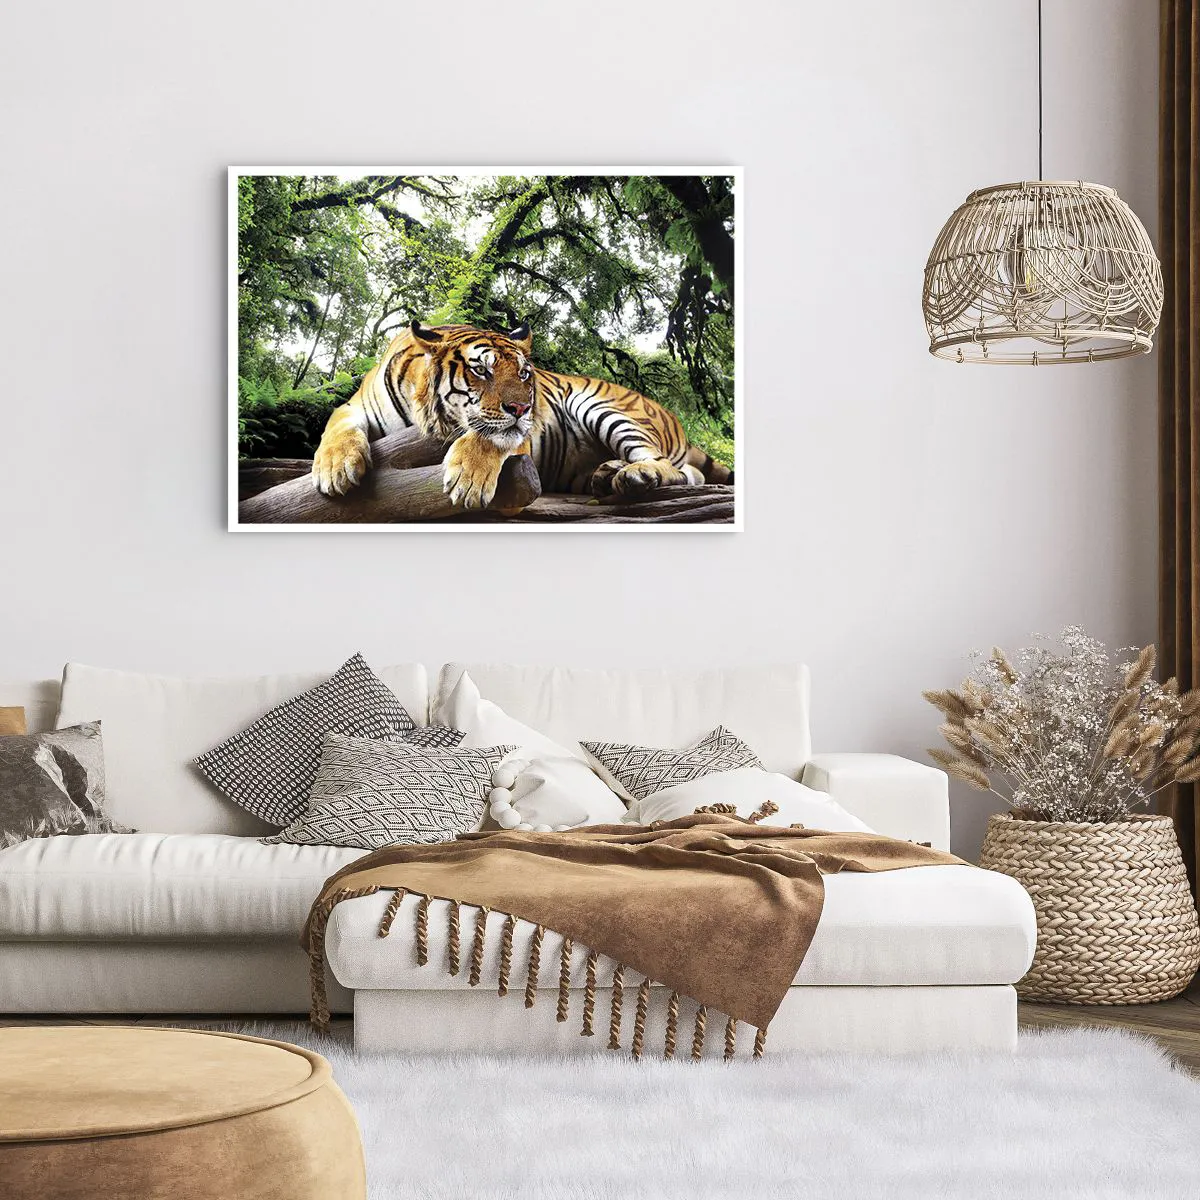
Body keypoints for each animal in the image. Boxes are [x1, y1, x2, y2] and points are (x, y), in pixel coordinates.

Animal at [311, 321, 732, 508]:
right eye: (482, 370)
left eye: (525, 374)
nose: (523, 407)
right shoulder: (354, 406)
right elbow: (336, 426)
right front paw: (335, 469)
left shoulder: (517, 433)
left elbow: (490, 436)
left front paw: (468, 480)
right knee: (689, 473)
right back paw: (608, 474)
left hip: (605, 408)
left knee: (671, 467)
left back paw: (635, 475)